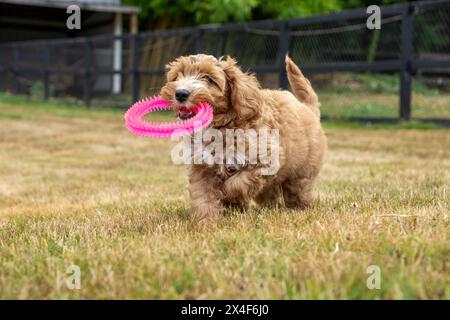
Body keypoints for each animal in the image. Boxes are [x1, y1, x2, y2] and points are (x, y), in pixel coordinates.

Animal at [160, 55, 326, 220]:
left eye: (208, 78)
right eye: (178, 75)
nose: (180, 93)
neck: (221, 127)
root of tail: (308, 108)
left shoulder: (265, 160)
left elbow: (237, 184)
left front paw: (229, 198)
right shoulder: (201, 167)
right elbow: (203, 194)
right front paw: (206, 220)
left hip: (301, 173)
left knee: (297, 192)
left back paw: (298, 209)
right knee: (270, 194)